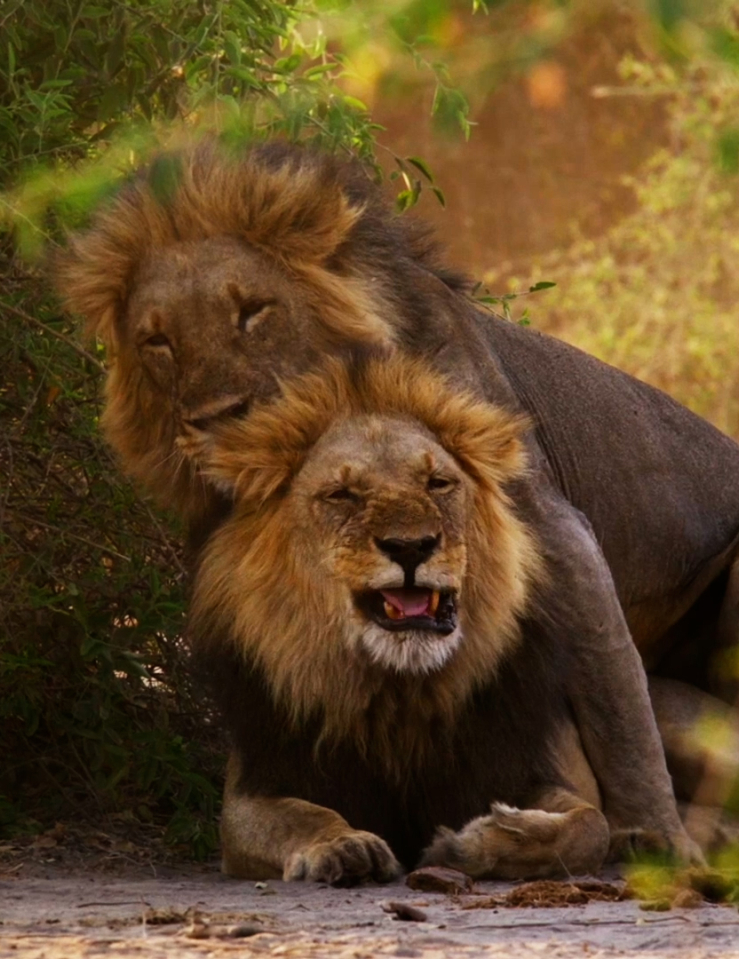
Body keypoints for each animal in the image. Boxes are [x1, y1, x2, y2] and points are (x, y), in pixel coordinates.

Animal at [185, 352, 611, 882]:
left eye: (438, 483)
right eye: (342, 494)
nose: (410, 546)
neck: (400, 694)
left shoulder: (538, 766)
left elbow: (590, 827)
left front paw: (479, 842)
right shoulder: (253, 789)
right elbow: (299, 816)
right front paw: (344, 844)